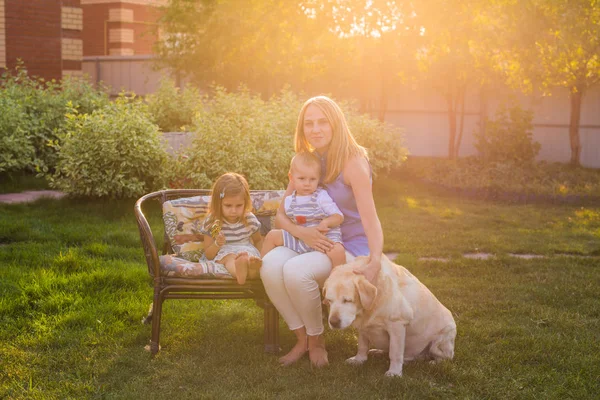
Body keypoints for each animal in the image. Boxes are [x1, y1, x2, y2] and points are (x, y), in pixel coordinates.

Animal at [324, 255, 454, 376]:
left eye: (347, 300)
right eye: (329, 300)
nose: (333, 322)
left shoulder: (397, 324)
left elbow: (395, 352)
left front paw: (394, 372)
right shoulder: (363, 326)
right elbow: (362, 345)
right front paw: (359, 359)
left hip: (442, 338)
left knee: (445, 358)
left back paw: (433, 362)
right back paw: (378, 351)